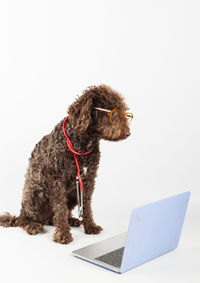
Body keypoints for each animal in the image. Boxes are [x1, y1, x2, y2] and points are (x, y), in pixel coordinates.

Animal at [0, 84, 133, 244]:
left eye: (124, 111)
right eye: (113, 111)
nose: (128, 133)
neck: (82, 145)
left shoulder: (88, 181)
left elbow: (86, 206)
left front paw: (90, 226)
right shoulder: (57, 181)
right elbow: (60, 208)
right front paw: (63, 234)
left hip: (73, 194)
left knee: (53, 218)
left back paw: (72, 220)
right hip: (35, 196)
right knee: (24, 219)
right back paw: (32, 225)